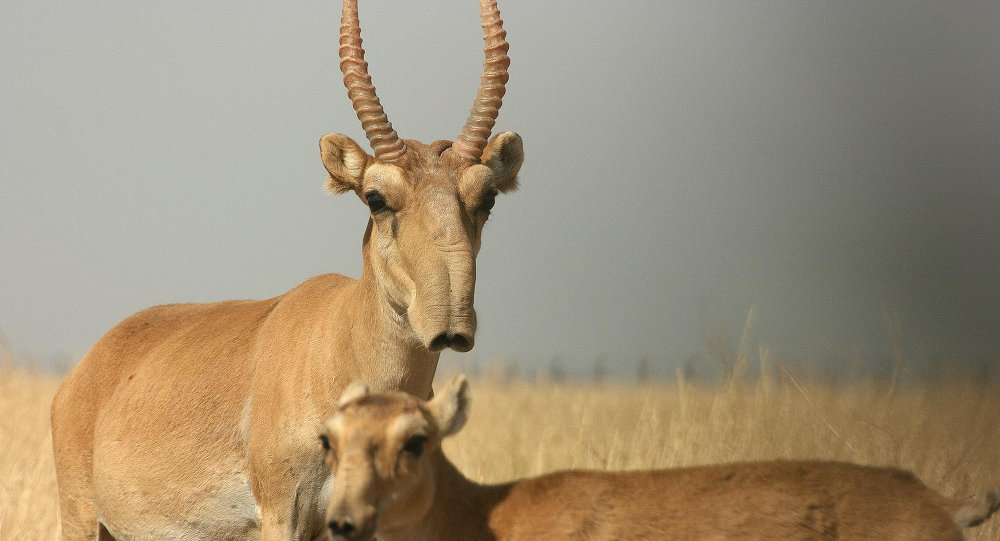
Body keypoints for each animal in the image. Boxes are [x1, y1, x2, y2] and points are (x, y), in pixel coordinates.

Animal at [48, 2, 524, 536]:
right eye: (376, 197)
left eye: (487, 197)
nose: (450, 322)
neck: (339, 340)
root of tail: (85, 371)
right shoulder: (284, 516)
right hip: (82, 518)